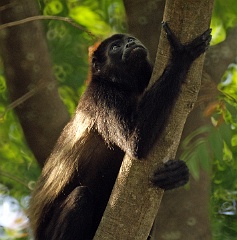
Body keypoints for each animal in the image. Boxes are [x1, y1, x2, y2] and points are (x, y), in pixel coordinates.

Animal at [28, 23, 211, 240]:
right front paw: (182, 55)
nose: (130, 43)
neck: (125, 86)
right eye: (115, 47)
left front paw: (176, 174)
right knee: (80, 197)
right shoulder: (101, 96)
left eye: (129, 39)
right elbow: (135, 142)